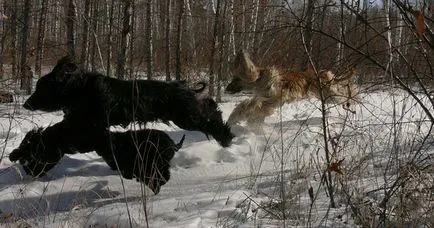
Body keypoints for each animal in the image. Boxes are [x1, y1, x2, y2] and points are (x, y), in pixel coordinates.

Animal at [22, 56, 234, 147]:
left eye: (41, 88)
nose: (26, 104)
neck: (79, 89)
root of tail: (183, 87)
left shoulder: (85, 122)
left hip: (186, 116)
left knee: (210, 116)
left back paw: (226, 137)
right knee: (210, 109)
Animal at [225, 50, 358, 128]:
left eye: (236, 79)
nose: (226, 89)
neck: (261, 79)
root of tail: (327, 74)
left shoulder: (274, 98)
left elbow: (253, 106)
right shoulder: (266, 98)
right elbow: (250, 106)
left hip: (330, 93)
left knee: (346, 92)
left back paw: (353, 99)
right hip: (328, 94)